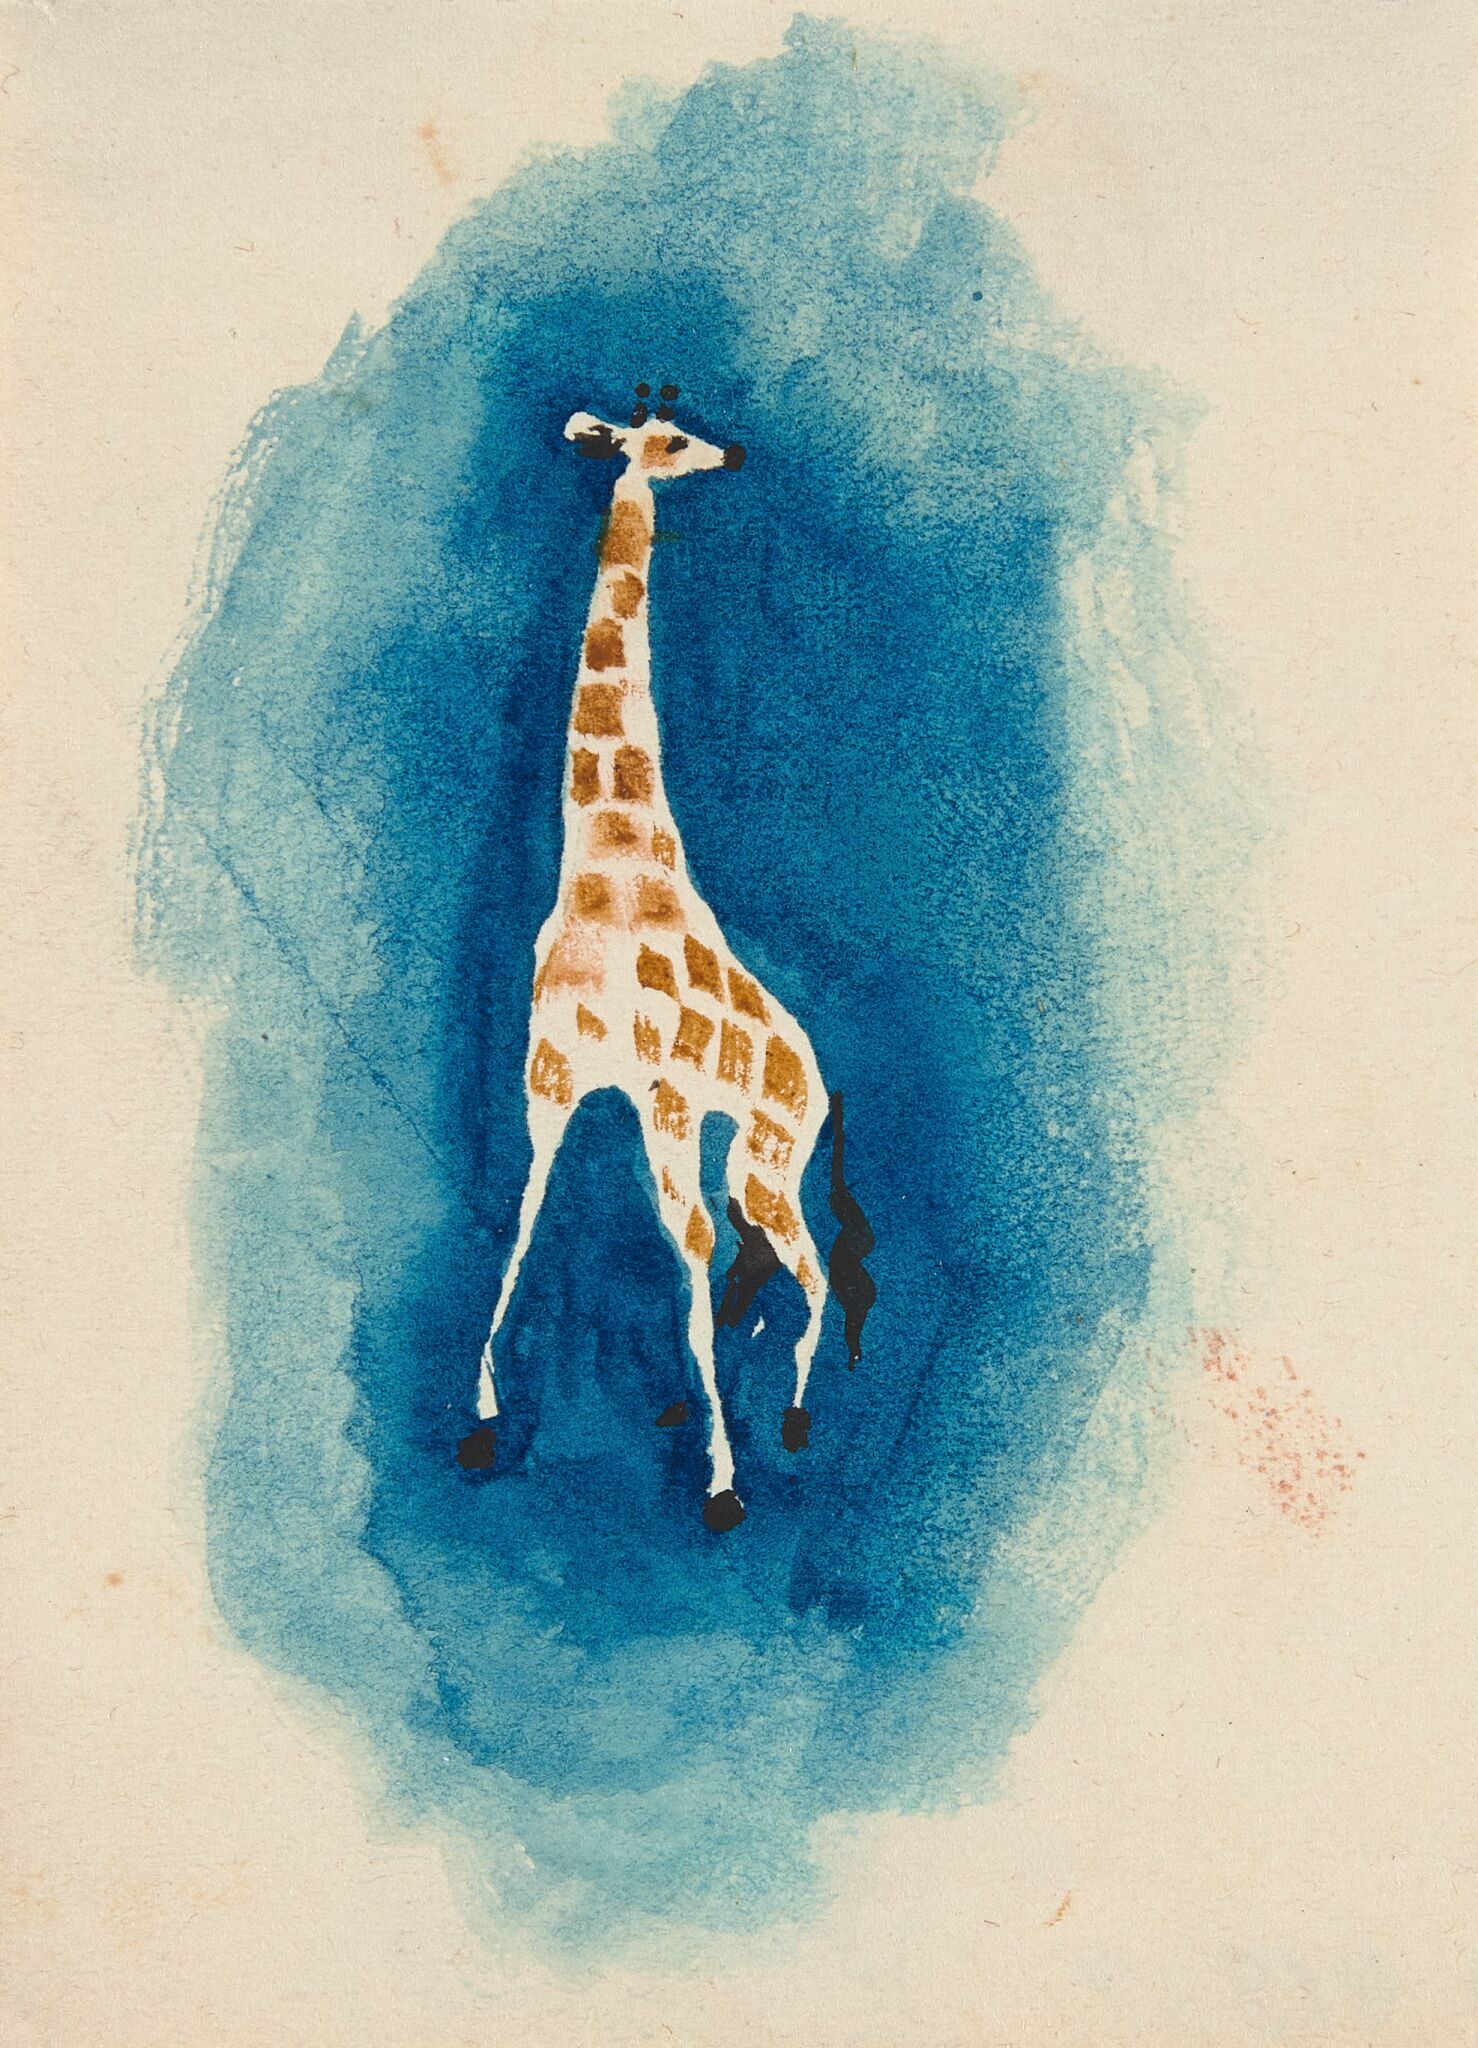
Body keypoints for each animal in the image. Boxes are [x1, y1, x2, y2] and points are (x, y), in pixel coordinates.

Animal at [458, 384, 873, 1531]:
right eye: (667, 440)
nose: (731, 453)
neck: (606, 861)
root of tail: (820, 1079)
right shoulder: (553, 1080)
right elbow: (522, 1222)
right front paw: (481, 1409)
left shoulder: (659, 1097)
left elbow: (674, 1248)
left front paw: (723, 1481)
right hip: (742, 1149)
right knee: (759, 1261)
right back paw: (721, 1403)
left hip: (765, 1149)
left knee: (807, 1267)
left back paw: (784, 1421)